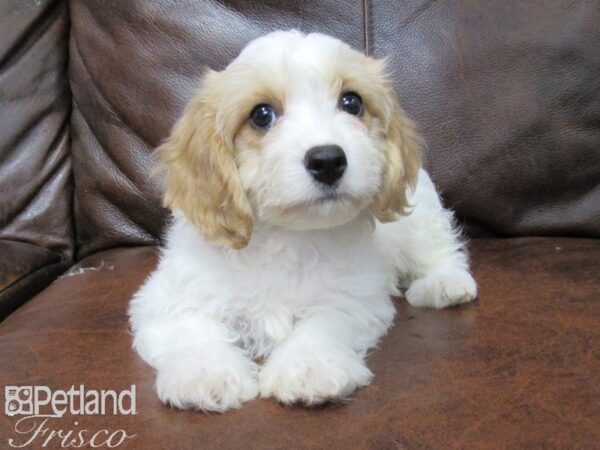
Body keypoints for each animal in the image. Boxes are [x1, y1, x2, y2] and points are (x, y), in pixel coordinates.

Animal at [129, 29, 476, 414]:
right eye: (262, 115)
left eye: (351, 103)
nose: (327, 160)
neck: (288, 236)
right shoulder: (166, 295)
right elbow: (189, 323)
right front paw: (205, 371)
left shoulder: (355, 295)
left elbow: (323, 322)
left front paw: (308, 366)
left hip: (418, 220)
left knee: (438, 248)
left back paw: (445, 284)